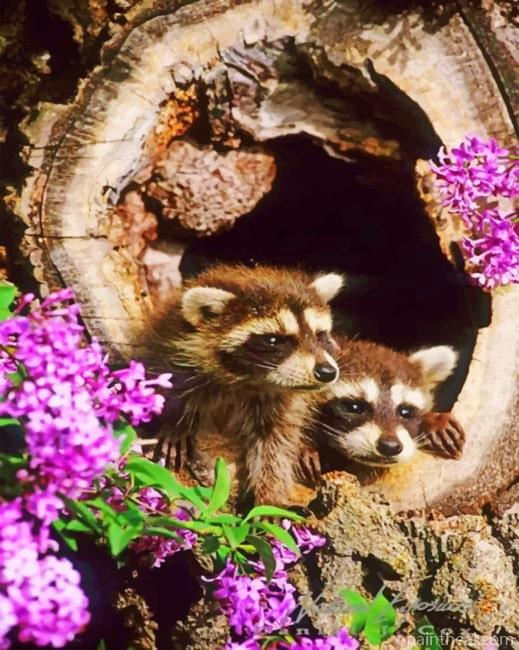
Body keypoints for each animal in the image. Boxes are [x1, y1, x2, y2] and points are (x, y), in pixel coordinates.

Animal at [154, 264, 344, 504]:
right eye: (273, 340)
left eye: (320, 336)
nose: (327, 372)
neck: (248, 381)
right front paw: (176, 422)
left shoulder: (282, 404)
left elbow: (276, 447)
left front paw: (269, 497)